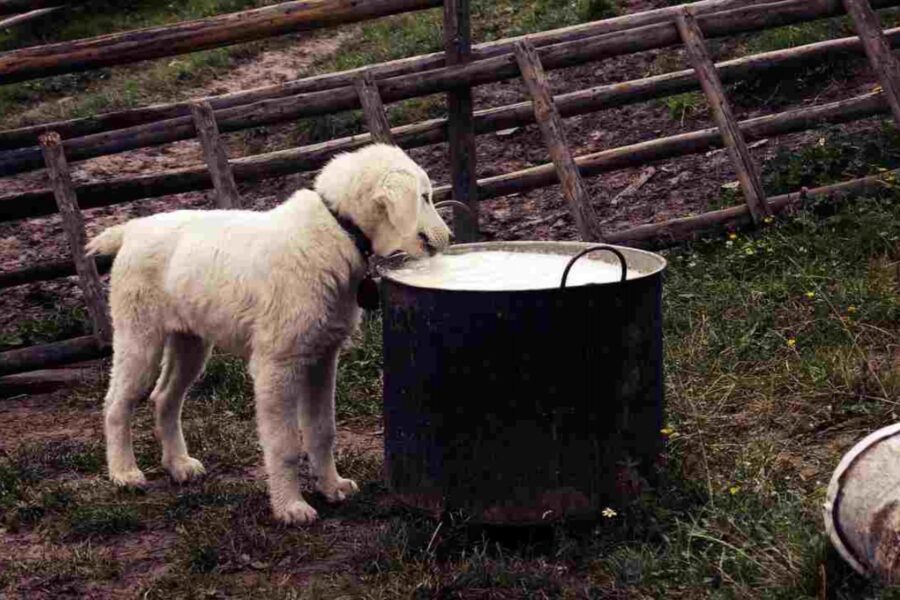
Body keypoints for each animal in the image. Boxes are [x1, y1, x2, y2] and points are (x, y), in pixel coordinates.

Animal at [86, 143, 450, 524]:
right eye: (425, 197)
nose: (450, 239)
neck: (338, 229)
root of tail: (133, 229)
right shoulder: (277, 365)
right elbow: (285, 443)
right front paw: (290, 506)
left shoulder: (323, 357)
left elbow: (322, 430)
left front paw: (332, 487)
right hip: (139, 337)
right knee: (117, 403)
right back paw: (124, 473)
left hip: (190, 342)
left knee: (165, 397)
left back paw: (179, 465)